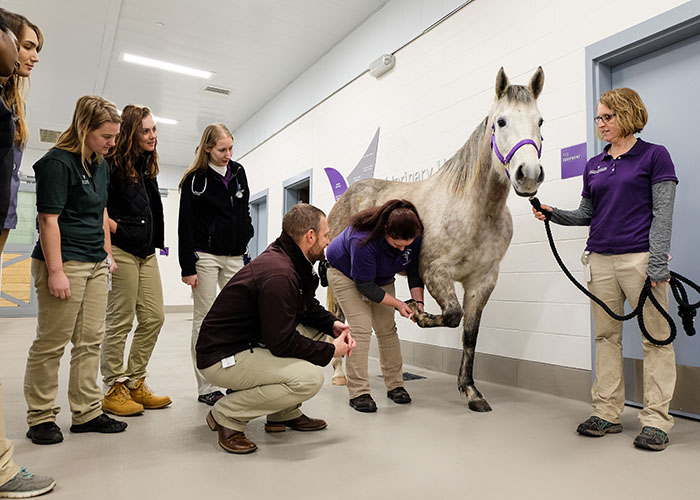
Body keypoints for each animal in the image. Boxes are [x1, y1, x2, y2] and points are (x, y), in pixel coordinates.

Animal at [328, 65, 548, 410]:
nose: (528, 174)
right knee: (340, 315)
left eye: (539, 121)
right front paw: (419, 314)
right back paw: (339, 373)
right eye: (501, 121)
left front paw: (472, 392)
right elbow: (452, 315)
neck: (473, 210)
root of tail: (346, 197)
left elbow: (469, 333)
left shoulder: (482, 281)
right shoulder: (435, 272)